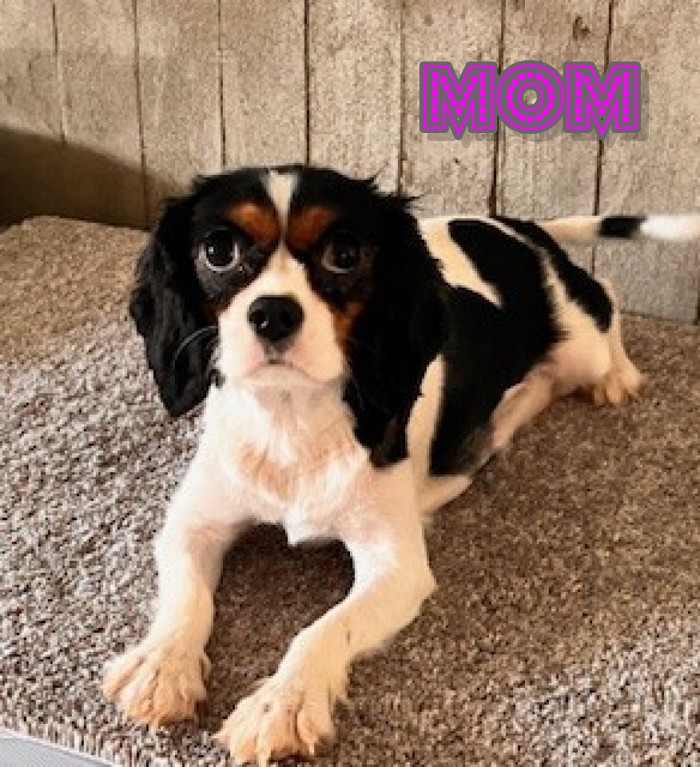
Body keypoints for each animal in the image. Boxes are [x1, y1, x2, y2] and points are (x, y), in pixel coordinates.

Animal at [103, 164, 699, 765]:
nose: (271, 313)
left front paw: (282, 704)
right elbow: (186, 594)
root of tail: (524, 228)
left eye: (344, 254)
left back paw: (616, 375)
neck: (290, 416)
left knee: (607, 300)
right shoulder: (192, 523)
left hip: (580, 345)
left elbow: (324, 628)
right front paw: (161, 667)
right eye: (218, 251)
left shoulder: (396, 566)